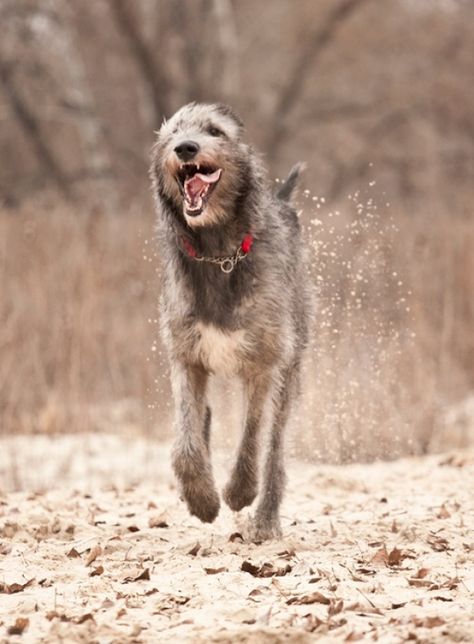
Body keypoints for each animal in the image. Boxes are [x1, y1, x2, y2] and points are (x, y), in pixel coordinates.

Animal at [149, 103, 312, 540]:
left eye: (214, 131)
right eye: (173, 133)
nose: (186, 148)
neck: (218, 252)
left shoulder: (264, 362)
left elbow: (251, 435)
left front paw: (239, 491)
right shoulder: (186, 357)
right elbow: (185, 441)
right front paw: (201, 498)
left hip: (292, 366)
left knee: (275, 449)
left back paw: (266, 518)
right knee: (202, 420)